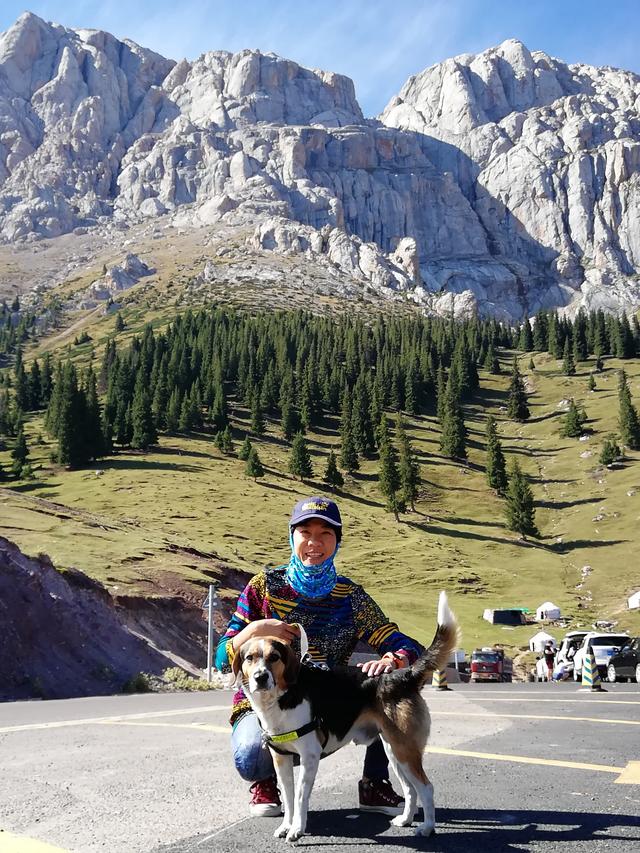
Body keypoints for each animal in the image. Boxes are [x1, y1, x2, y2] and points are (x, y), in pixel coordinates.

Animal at [232, 584, 458, 840]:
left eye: (274, 657)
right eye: (249, 658)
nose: (260, 677)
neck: (283, 697)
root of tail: (402, 675)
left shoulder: (309, 757)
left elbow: (299, 798)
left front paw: (297, 829)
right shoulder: (281, 758)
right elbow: (289, 799)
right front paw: (286, 826)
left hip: (404, 750)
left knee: (426, 788)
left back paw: (427, 827)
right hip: (395, 750)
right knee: (411, 788)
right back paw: (406, 819)